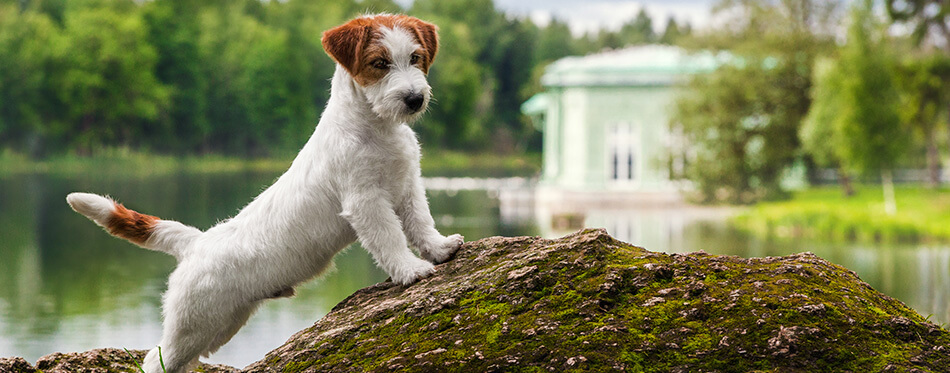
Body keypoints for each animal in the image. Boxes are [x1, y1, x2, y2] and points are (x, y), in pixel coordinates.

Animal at [65, 14, 462, 372]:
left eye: (415, 58)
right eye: (380, 63)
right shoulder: (366, 202)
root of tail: (195, 242)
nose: (414, 99)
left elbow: (421, 223)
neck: (375, 129)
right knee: (156, 358)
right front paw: (411, 270)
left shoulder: (408, 186)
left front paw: (440, 248)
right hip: (191, 326)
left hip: (222, 325)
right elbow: (390, 238)